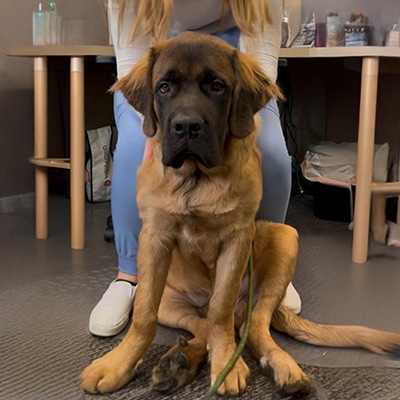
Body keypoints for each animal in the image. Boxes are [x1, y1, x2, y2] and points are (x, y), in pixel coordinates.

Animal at [79, 32, 398, 396]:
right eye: (164, 87)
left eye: (217, 86)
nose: (186, 127)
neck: (196, 179)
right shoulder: (154, 237)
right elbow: (144, 313)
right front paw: (119, 362)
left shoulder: (237, 238)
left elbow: (220, 308)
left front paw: (226, 365)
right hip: (171, 303)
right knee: (200, 325)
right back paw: (178, 363)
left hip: (284, 241)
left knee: (250, 326)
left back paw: (281, 366)